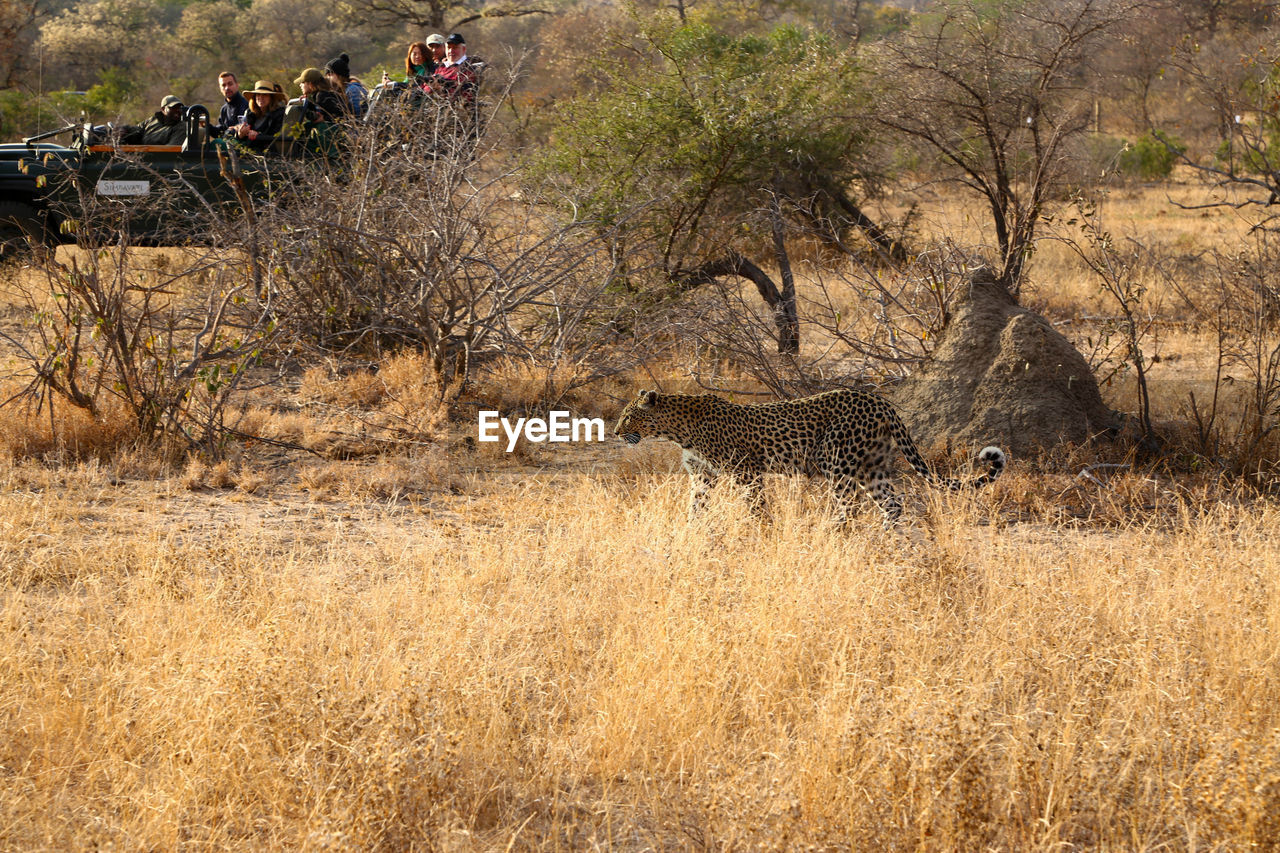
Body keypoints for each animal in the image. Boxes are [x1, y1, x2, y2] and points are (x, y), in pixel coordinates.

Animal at [614, 384, 1003, 517]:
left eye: (629, 415)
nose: (616, 432)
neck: (677, 430)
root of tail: (879, 401)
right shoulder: (703, 476)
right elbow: (695, 509)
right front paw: (692, 535)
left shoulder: (747, 471)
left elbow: (757, 507)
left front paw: (760, 534)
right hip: (871, 466)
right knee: (892, 502)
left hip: (838, 462)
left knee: (849, 506)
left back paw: (833, 536)